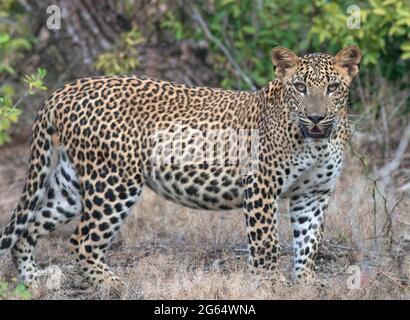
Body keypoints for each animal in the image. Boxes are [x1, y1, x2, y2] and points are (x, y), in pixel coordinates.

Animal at [0, 45, 360, 290]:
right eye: (300, 87)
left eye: (332, 87)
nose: (315, 117)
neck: (316, 142)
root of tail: (63, 91)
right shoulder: (260, 185)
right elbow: (266, 243)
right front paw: (268, 285)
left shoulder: (313, 194)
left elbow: (309, 241)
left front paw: (305, 282)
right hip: (114, 182)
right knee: (81, 241)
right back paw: (113, 285)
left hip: (71, 185)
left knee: (29, 229)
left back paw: (34, 280)